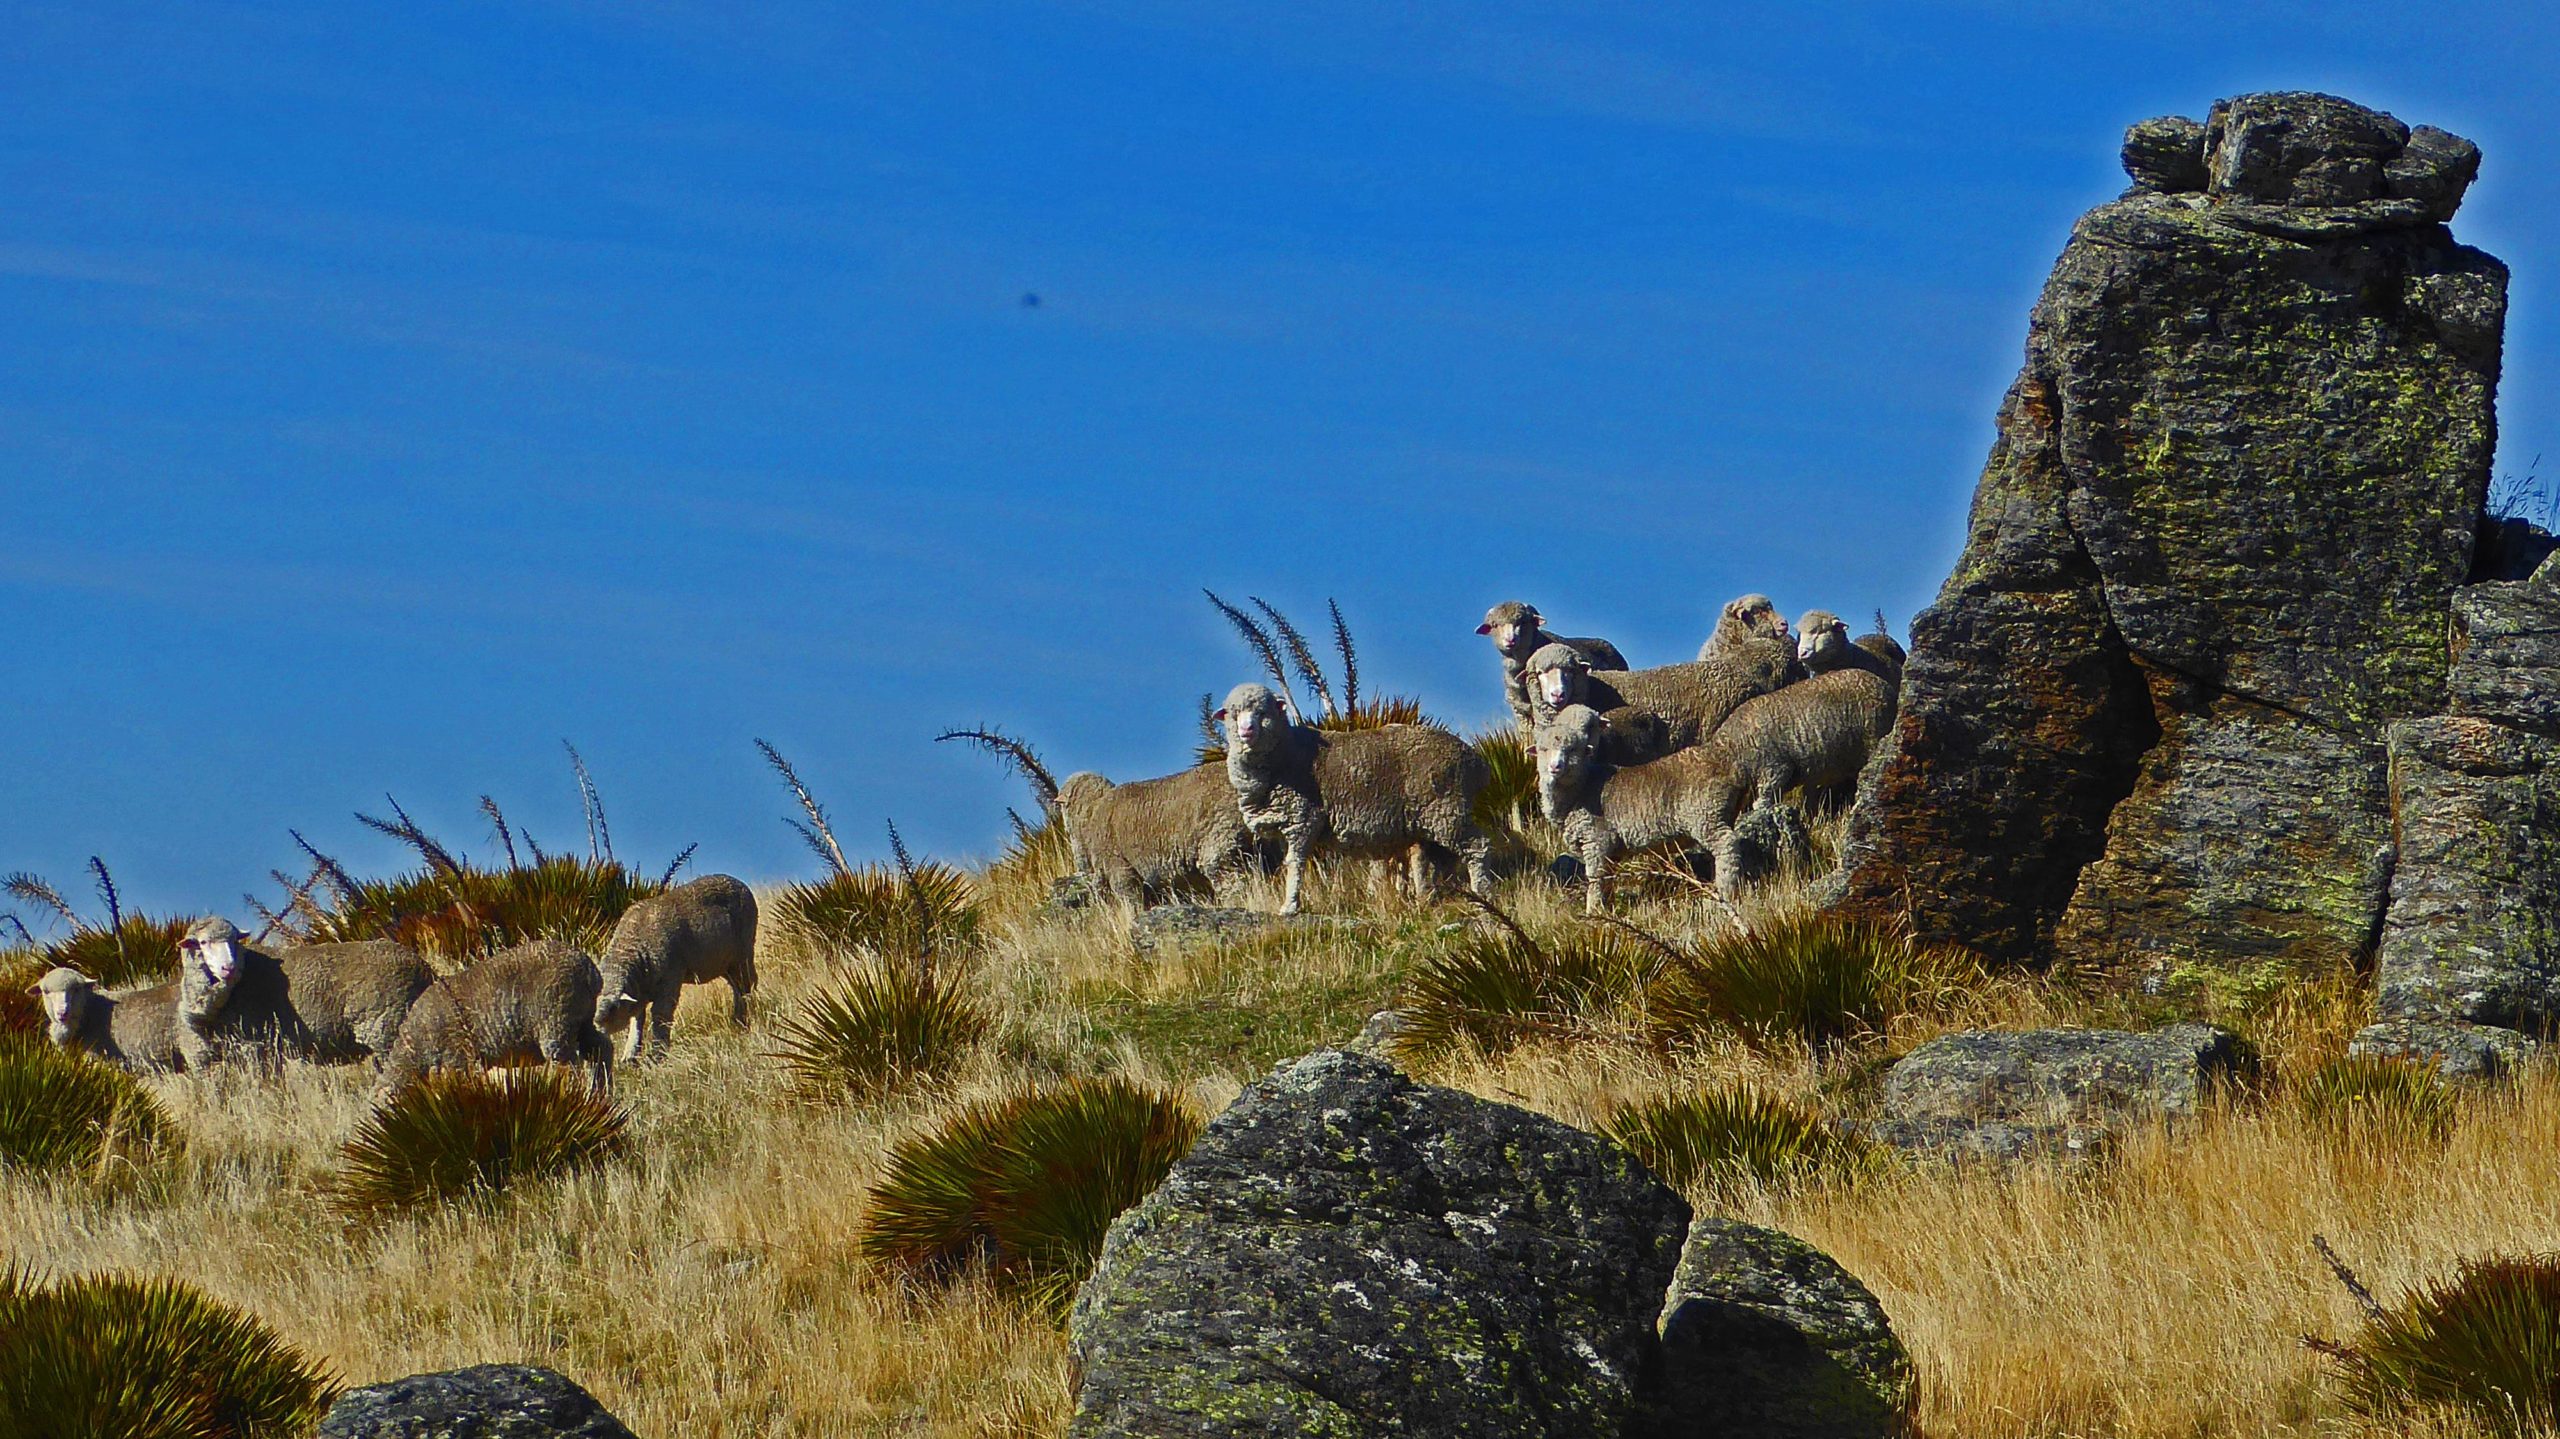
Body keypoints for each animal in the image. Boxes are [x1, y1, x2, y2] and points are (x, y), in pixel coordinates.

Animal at [173, 917, 437, 1070]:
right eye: (203, 943)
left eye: (235, 940)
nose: (229, 968)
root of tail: (423, 967)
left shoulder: (254, 1045)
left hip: (385, 1025)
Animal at [376, 938, 615, 1095]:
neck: (414, 1047)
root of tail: (588, 968)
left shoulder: (457, 1058)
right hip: (582, 1018)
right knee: (602, 1048)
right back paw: (603, 1093)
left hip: (556, 1021)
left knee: (570, 1066)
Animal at [593, 873, 758, 1063]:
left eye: (613, 1008)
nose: (595, 1030)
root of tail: (740, 883)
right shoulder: (639, 991)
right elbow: (637, 1020)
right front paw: (630, 1055)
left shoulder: (669, 980)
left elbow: (660, 1016)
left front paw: (657, 1054)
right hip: (725, 963)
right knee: (737, 988)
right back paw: (737, 1019)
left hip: (743, 953)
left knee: (747, 985)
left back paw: (743, 1020)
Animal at [1216, 682, 1493, 915]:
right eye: (1232, 713)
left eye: (1262, 712)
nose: (1246, 730)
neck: (1286, 751)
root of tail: (1476, 761)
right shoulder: (1285, 824)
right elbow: (1288, 863)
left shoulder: (1303, 818)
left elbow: (1295, 863)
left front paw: (1290, 907)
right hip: (1433, 820)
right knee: (1429, 859)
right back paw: (1426, 899)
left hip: (1448, 810)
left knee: (1478, 848)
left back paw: (1482, 894)